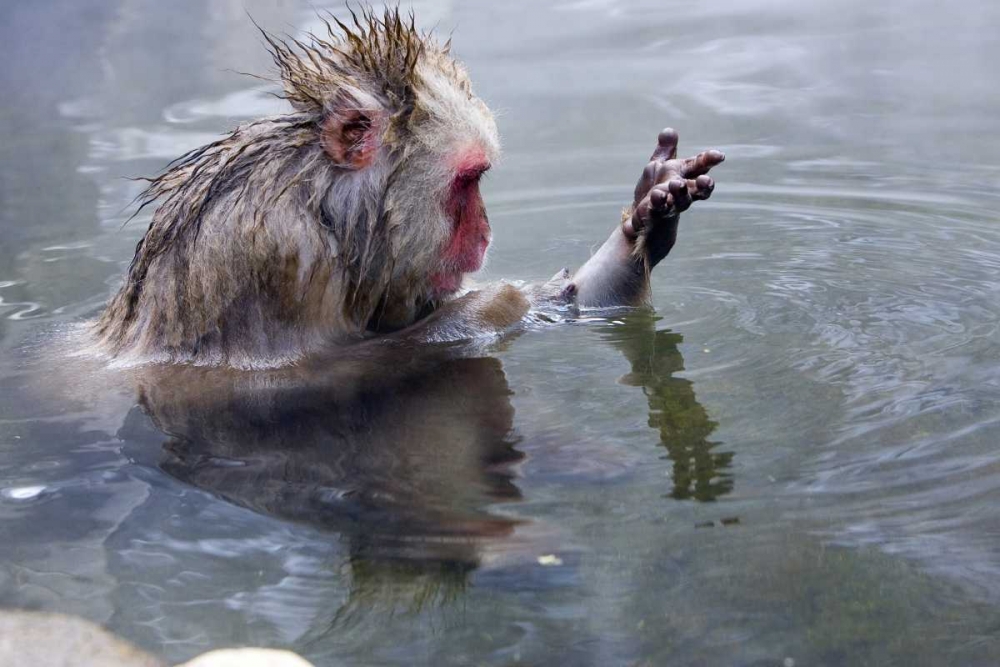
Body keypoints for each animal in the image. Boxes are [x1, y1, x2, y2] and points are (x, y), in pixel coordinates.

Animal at [90, 8, 724, 369]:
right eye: (469, 181)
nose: (485, 234)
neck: (329, 211)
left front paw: (648, 220)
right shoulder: (276, 254)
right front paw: (495, 304)